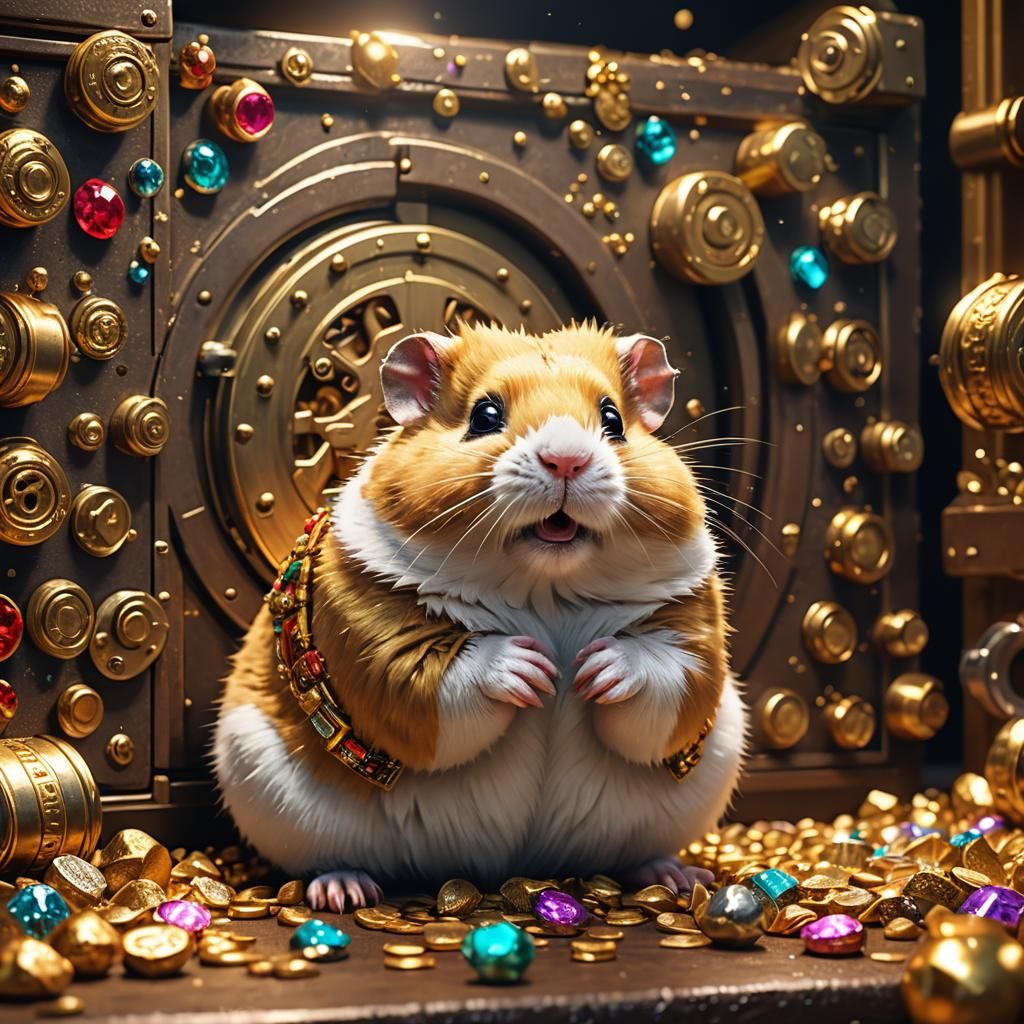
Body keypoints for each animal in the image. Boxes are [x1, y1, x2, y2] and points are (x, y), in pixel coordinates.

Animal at [213, 322, 748, 912]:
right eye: (485, 415)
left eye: (612, 419)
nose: (567, 459)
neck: (545, 588)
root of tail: (506, 865)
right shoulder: (366, 634)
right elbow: (433, 681)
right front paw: (535, 670)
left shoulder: (694, 621)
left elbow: (671, 676)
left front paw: (590, 671)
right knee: (325, 860)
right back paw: (343, 891)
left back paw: (677, 876)